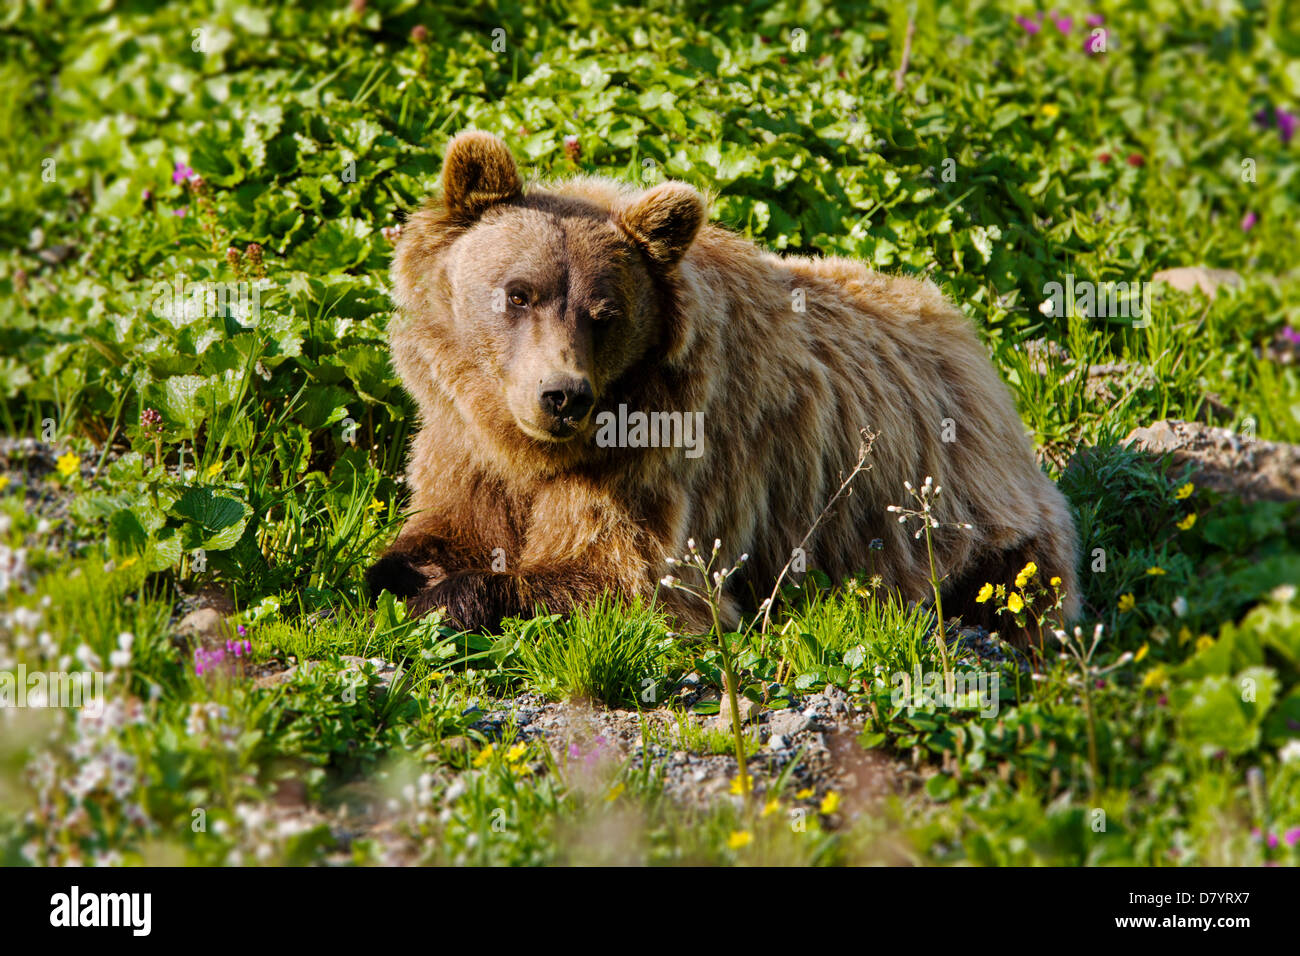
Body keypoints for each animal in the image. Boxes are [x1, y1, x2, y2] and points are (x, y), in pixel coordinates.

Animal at [366, 130, 1076, 647]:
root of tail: (967, 335)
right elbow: (442, 525)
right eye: (519, 294)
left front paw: (445, 598)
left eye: (604, 314)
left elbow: (626, 578)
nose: (562, 395)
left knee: (1023, 587)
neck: (525, 447)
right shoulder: (463, 446)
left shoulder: (651, 463)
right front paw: (391, 575)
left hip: (978, 517)